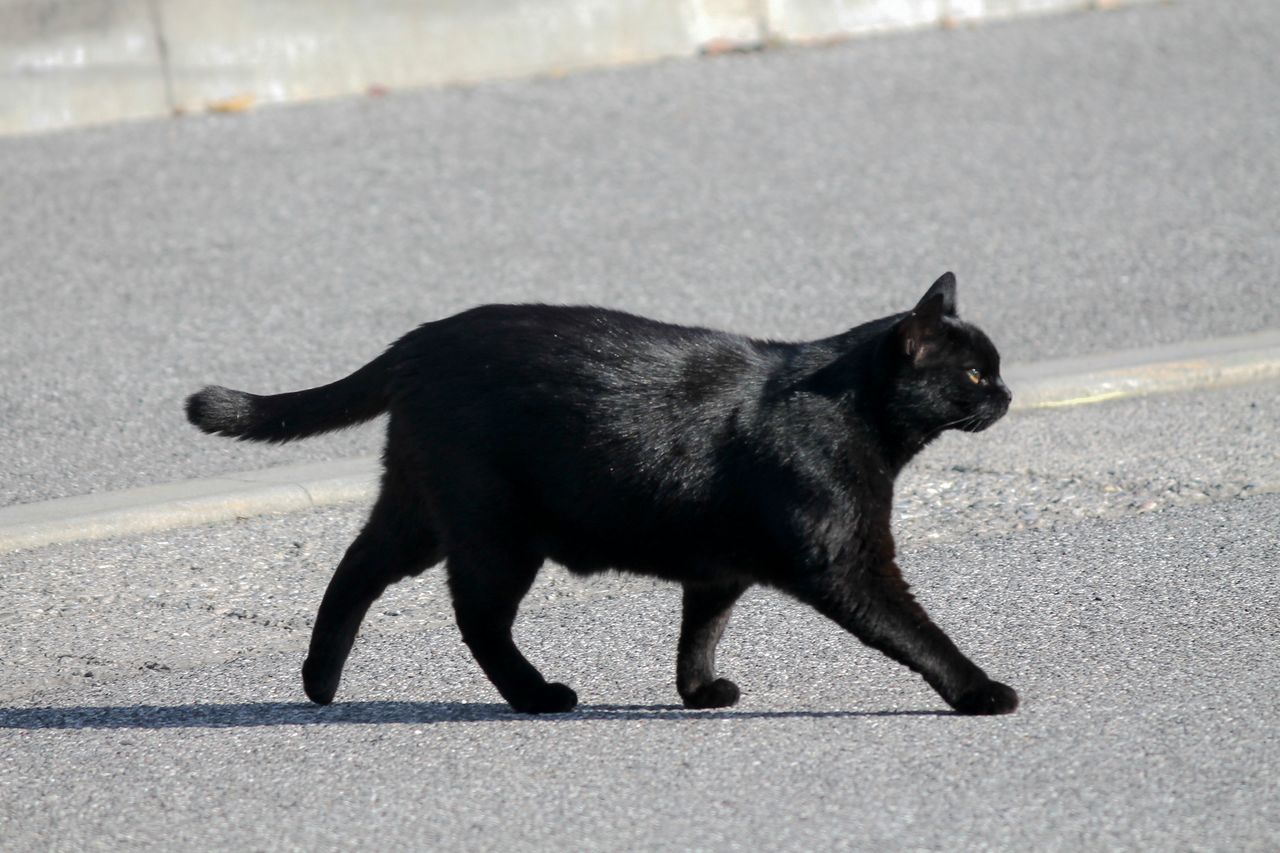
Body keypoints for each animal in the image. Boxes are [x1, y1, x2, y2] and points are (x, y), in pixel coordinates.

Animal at [185, 270, 1013, 712]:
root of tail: (419, 338)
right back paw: (535, 694)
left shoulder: (720, 567)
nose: (1007, 394)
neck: (850, 411)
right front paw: (978, 690)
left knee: (356, 566)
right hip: (492, 529)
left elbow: (700, 631)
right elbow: (917, 632)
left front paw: (697, 691)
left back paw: (319, 680)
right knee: (476, 617)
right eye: (975, 373)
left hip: (421, 507)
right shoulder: (847, 563)